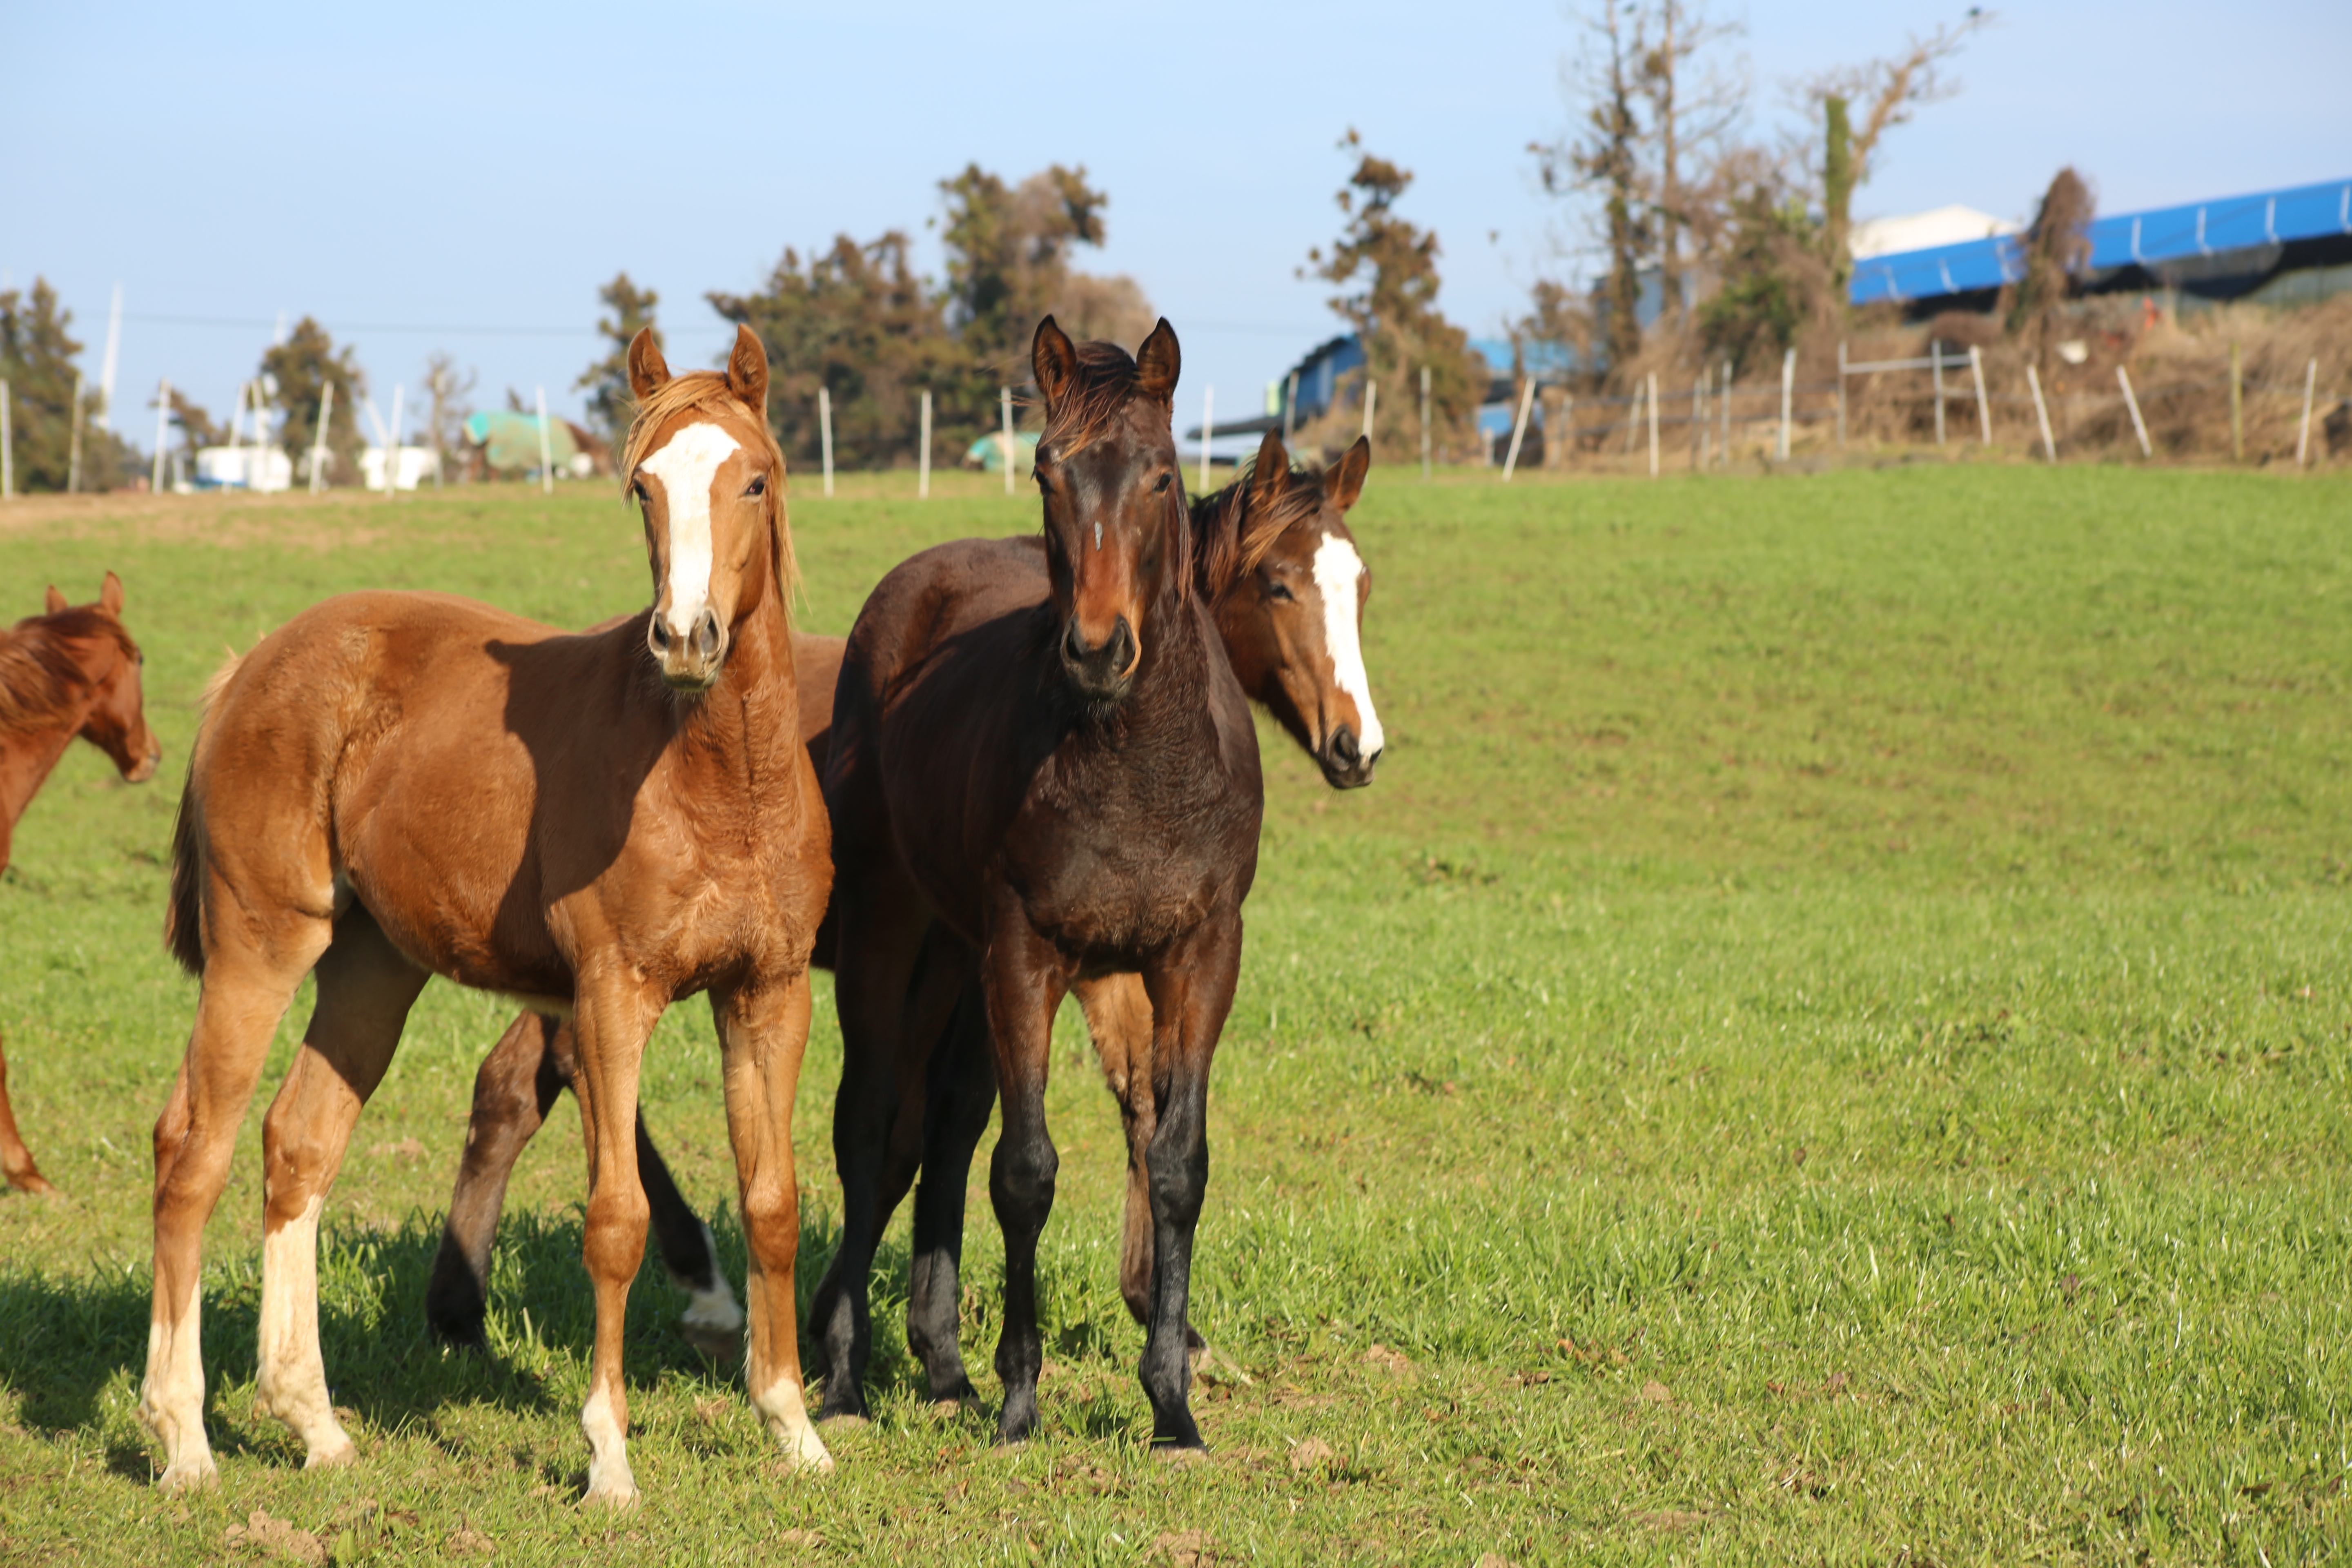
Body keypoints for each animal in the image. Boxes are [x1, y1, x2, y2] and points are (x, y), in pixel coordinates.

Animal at [140, 322, 837, 1504]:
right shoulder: (611, 999)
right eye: (643, 487)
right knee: (194, 1147)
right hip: (259, 945)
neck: (719, 781)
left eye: (753, 479)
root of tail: (252, 668)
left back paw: (313, 1423)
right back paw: (185, 1437)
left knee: (298, 1146)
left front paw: (793, 1429)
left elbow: (773, 1202)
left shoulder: (768, 995)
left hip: (371, 969)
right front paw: (609, 1460)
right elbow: (616, 1218)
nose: (684, 638)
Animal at [813, 319, 1261, 1457]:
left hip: (952, 960)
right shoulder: (1024, 955)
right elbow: (1024, 1172)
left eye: (1160, 475)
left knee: (933, 1131)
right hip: (889, 938)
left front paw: (1172, 1404)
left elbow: (1176, 1165)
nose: (1099, 649)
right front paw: (1021, 1402)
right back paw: (844, 1376)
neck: (1136, 763)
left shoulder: (1199, 955)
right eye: (1047, 473)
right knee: (871, 1131)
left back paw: (936, 1372)